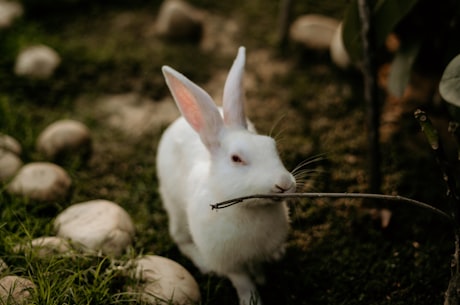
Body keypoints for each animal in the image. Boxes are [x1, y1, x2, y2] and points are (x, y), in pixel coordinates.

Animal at [156, 45, 296, 304]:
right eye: (236, 159)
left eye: (271, 145)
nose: (284, 183)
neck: (248, 208)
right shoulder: (229, 263)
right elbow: (242, 281)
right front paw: (251, 299)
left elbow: (258, 267)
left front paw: (262, 277)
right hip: (174, 205)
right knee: (180, 238)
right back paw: (202, 262)